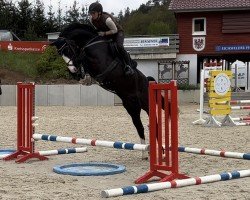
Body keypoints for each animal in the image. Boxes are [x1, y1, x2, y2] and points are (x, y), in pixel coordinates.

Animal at [51, 22, 163, 159]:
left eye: (67, 49)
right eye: (59, 54)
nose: (72, 69)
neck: (90, 43)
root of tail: (147, 81)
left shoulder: (99, 64)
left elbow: (82, 57)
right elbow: (82, 69)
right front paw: (81, 75)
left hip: (145, 103)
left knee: (153, 124)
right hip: (131, 106)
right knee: (140, 127)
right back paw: (147, 153)